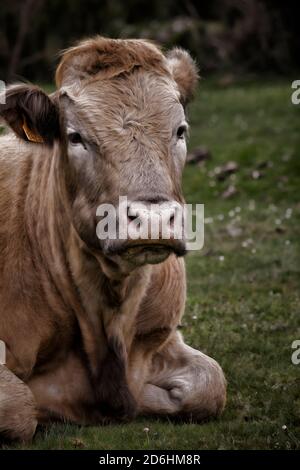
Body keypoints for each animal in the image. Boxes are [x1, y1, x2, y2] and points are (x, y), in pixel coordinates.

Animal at [0, 35, 225, 440]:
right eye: (76, 137)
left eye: (180, 130)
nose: (153, 220)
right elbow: (19, 406)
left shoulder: (163, 337)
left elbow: (209, 385)